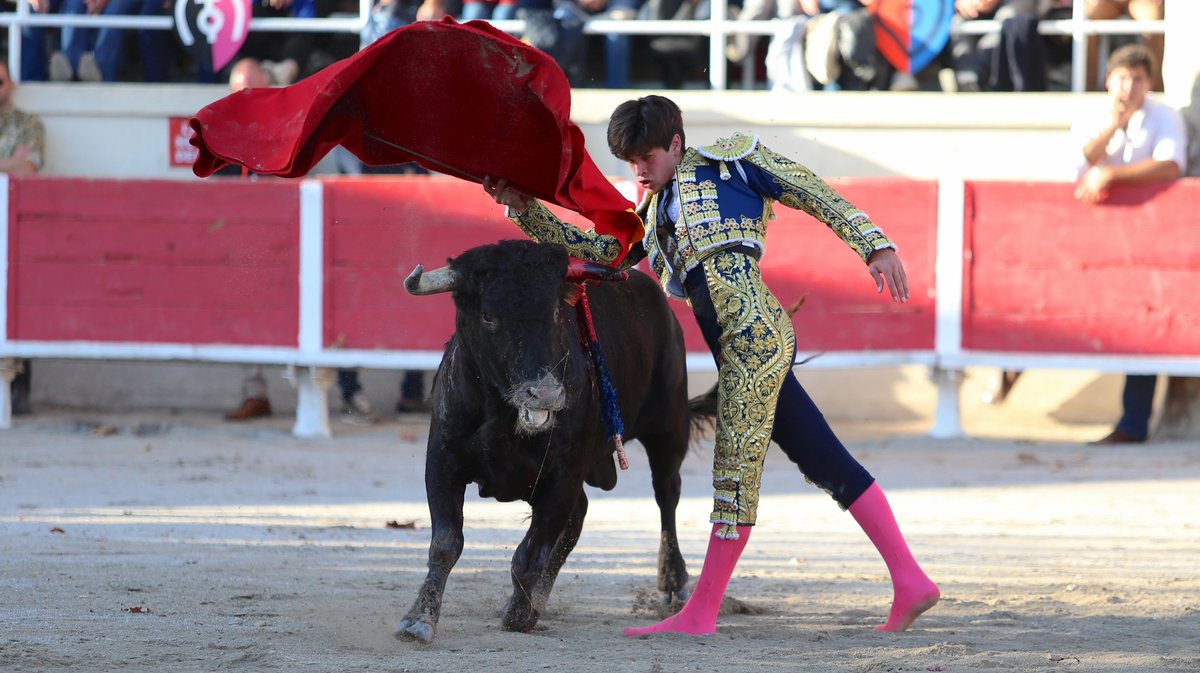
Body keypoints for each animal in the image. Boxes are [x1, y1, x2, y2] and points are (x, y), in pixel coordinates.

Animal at [396, 239, 696, 638]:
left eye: (555, 311)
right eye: (488, 316)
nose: (546, 394)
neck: (502, 415)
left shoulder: (563, 476)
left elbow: (529, 555)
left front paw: (519, 614)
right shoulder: (443, 460)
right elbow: (445, 543)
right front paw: (418, 620)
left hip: (668, 428)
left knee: (666, 496)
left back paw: (674, 584)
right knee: (579, 517)